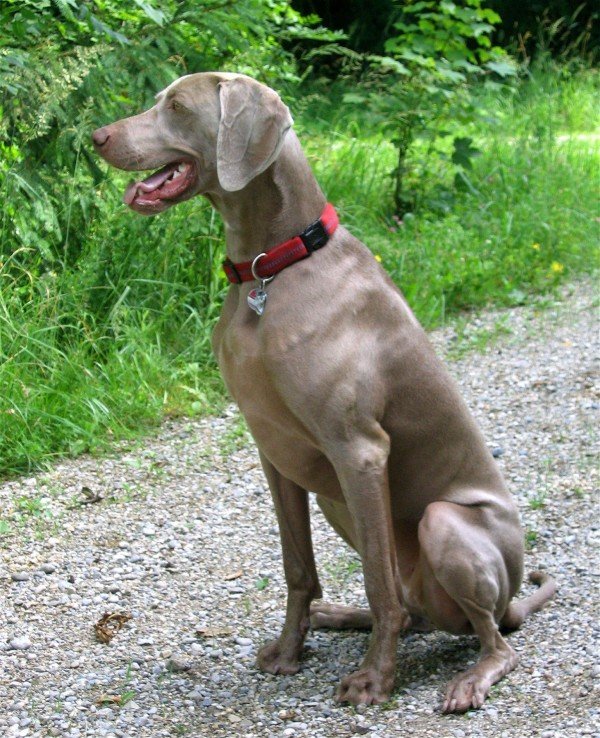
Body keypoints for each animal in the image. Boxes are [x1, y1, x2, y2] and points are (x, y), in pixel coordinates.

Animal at [91, 72, 556, 712]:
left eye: (178, 106)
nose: (96, 137)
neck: (272, 268)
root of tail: (512, 599)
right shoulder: (275, 453)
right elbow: (298, 568)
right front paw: (291, 651)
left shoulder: (358, 450)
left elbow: (378, 584)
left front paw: (375, 680)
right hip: (338, 503)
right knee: (411, 609)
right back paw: (339, 616)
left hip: (440, 522)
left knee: (486, 636)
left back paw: (468, 676)